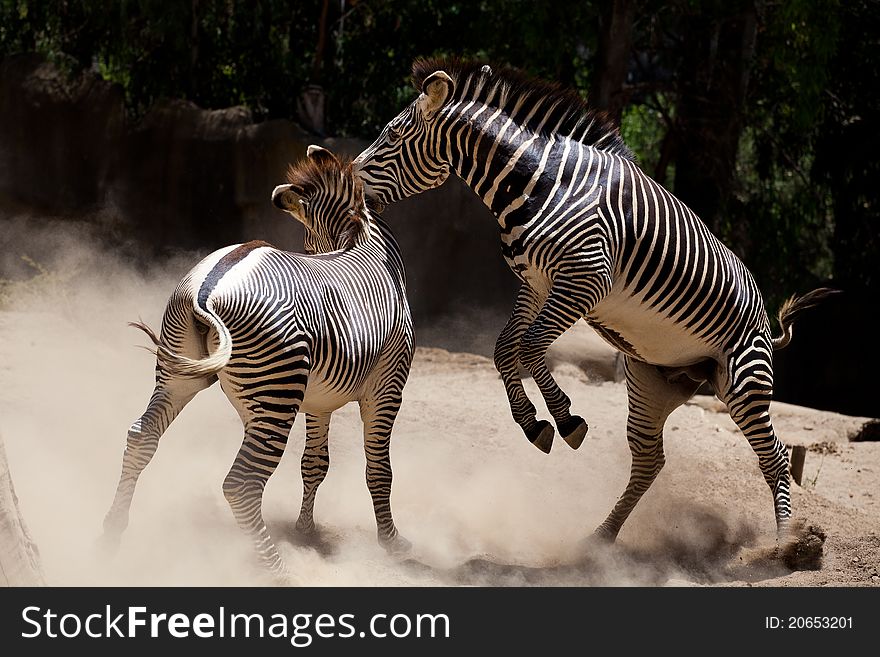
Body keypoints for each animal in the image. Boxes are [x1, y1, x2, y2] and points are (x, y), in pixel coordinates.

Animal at [104, 145, 416, 580]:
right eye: (309, 240)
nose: (312, 252)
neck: (363, 243)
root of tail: (207, 291)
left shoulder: (318, 399)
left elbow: (314, 463)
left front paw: (306, 530)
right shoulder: (387, 388)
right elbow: (379, 470)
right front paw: (390, 541)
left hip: (180, 374)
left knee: (141, 436)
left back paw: (110, 536)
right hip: (277, 396)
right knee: (242, 483)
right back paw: (277, 571)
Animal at [352, 56, 840, 544]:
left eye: (391, 136)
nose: (352, 184)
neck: (537, 183)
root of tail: (765, 321)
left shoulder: (585, 281)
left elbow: (530, 347)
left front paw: (564, 419)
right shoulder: (537, 283)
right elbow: (504, 349)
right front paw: (533, 424)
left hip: (743, 378)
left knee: (775, 456)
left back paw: (784, 546)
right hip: (651, 381)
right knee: (650, 460)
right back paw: (602, 537)